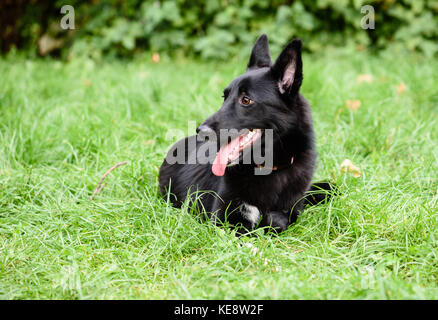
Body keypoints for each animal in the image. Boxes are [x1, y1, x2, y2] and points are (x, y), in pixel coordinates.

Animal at [159, 35, 330, 234]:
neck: (268, 167)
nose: (201, 131)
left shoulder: (293, 207)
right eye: (224, 97)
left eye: (246, 100)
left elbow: (279, 218)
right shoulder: (223, 220)